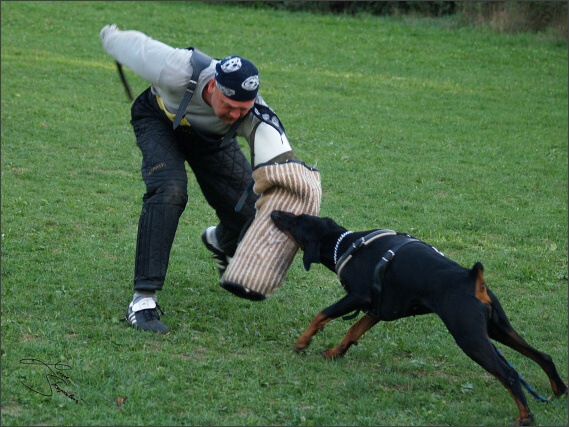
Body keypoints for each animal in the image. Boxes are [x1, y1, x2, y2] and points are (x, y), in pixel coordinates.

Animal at [268, 211, 564, 427]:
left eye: (295, 221)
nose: (274, 212)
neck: (345, 244)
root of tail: (472, 279)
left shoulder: (357, 296)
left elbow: (322, 314)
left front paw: (302, 342)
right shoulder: (377, 310)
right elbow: (353, 330)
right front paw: (335, 352)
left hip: (470, 337)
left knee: (509, 374)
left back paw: (525, 416)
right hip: (498, 329)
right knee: (543, 356)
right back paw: (559, 389)